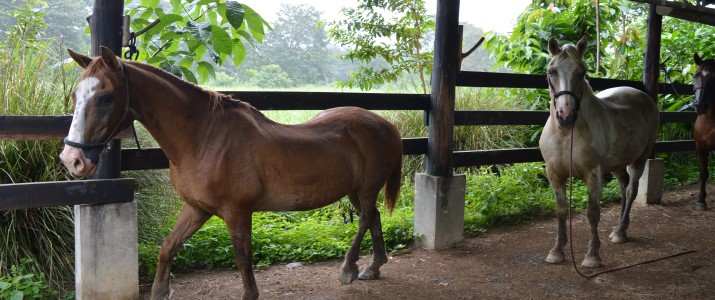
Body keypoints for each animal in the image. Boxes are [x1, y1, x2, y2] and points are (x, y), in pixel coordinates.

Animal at [58, 47, 402, 300]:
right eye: (75, 96)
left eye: (105, 97)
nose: (72, 160)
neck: (202, 137)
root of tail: (385, 124)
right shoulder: (197, 208)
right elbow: (168, 248)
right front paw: (160, 291)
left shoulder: (237, 212)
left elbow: (243, 257)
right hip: (354, 190)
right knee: (373, 218)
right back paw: (373, 267)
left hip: (367, 187)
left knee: (364, 219)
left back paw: (349, 268)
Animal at [536, 37, 660, 268]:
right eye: (551, 71)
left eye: (582, 72)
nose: (565, 115)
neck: (565, 134)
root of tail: (643, 96)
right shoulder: (554, 174)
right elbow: (561, 211)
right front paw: (557, 251)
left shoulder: (594, 174)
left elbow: (592, 213)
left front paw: (592, 255)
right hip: (617, 164)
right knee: (623, 187)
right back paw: (620, 229)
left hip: (639, 159)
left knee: (631, 190)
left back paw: (620, 232)